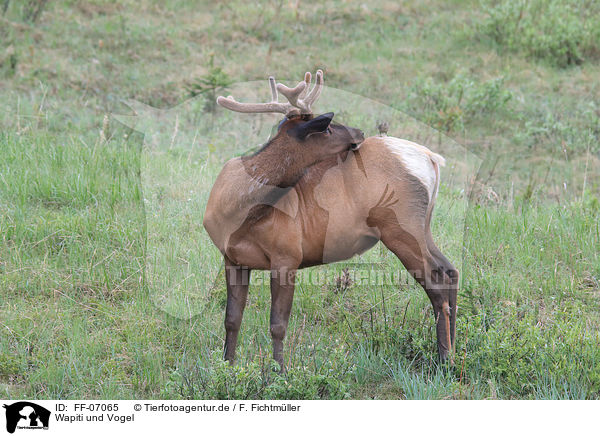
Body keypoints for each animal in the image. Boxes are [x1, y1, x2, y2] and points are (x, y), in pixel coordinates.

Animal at [203, 70, 460, 368]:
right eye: (325, 128)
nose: (360, 132)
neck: (239, 212)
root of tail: (431, 159)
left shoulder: (287, 253)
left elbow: (278, 324)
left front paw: (280, 372)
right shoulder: (232, 258)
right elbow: (232, 319)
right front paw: (228, 366)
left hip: (399, 226)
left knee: (437, 283)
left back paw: (445, 359)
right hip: (422, 226)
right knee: (451, 270)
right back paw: (453, 351)